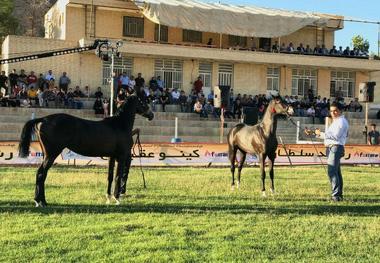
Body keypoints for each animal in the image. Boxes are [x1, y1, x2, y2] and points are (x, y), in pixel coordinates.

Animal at [18, 92, 153, 207]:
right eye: (143, 101)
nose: (151, 115)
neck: (119, 125)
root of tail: (44, 119)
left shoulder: (112, 157)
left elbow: (110, 177)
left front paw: (108, 197)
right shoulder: (121, 156)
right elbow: (118, 177)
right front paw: (117, 198)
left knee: (40, 174)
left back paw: (41, 201)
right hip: (51, 154)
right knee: (42, 173)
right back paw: (41, 201)